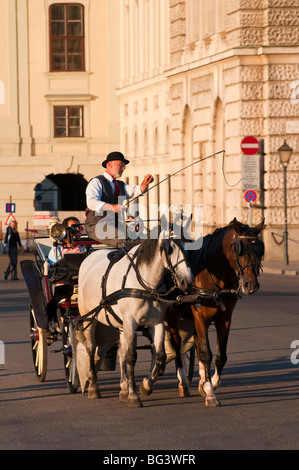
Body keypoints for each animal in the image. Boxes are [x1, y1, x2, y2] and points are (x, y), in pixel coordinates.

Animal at [77, 229, 195, 406]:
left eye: (187, 247)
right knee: (91, 348)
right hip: (89, 318)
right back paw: (93, 387)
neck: (145, 285)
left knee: (121, 351)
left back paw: (123, 388)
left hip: (120, 324)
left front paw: (146, 386)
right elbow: (131, 356)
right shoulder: (131, 322)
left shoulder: (157, 322)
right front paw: (134, 396)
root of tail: (89, 257)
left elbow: (159, 355)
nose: (187, 282)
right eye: (170, 249)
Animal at [168, 218, 266, 406]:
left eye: (260, 249)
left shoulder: (224, 319)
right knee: (177, 346)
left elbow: (220, 356)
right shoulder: (200, 317)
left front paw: (209, 383)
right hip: (170, 316)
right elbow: (206, 354)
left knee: (194, 345)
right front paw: (210, 393)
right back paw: (183, 381)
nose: (251, 285)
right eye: (240, 250)